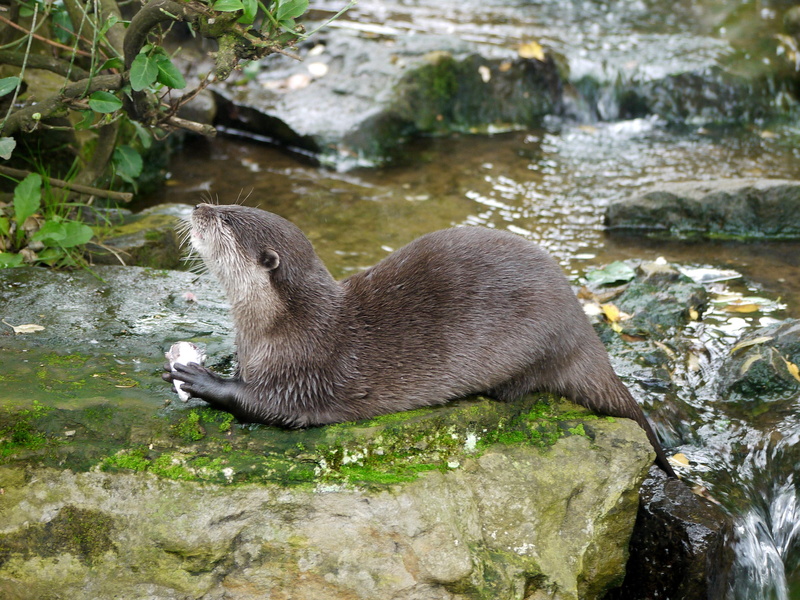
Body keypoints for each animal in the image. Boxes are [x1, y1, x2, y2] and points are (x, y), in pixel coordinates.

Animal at [164, 203, 676, 477]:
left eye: (226, 220)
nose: (197, 208)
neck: (282, 325)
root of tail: (581, 330)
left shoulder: (306, 371)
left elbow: (270, 407)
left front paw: (201, 378)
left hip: (537, 340)